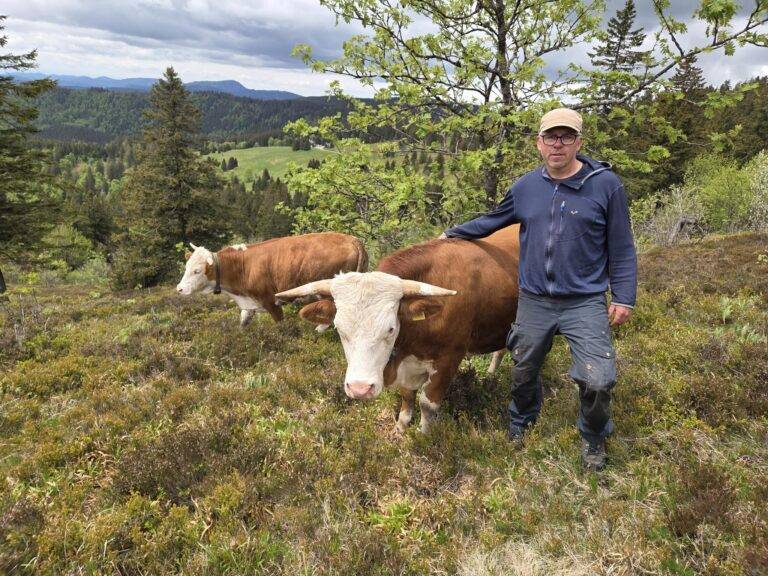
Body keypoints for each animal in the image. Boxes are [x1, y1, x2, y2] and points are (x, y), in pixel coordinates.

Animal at [176, 232, 368, 328]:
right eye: (186, 267)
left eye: (197, 270)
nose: (179, 289)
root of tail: (353, 239)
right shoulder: (249, 305)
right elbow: (243, 324)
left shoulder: (270, 301)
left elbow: (280, 326)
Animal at [275, 225, 520, 433]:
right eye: (339, 329)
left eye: (391, 329)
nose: (359, 388)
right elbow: (407, 396)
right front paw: (400, 428)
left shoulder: (448, 359)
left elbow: (427, 404)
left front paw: (424, 435)